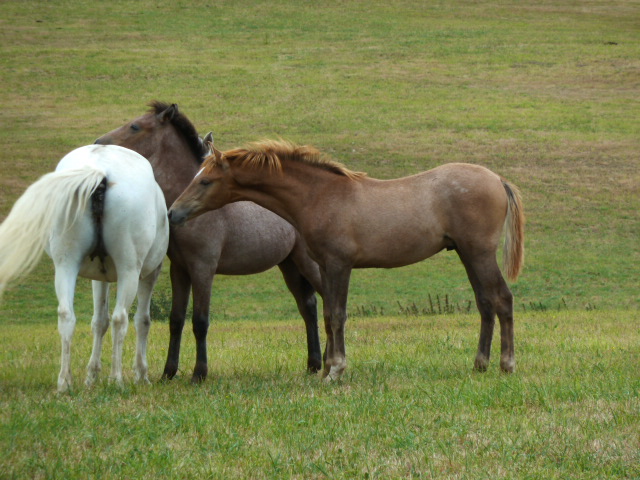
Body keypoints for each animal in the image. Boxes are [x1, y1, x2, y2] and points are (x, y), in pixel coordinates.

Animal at [0, 144, 168, 392]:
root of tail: (99, 173)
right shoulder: (149, 273)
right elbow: (142, 321)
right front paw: (141, 374)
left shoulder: (99, 278)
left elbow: (99, 322)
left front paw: (92, 375)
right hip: (128, 269)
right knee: (120, 319)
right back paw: (116, 379)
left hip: (65, 264)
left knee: (66, 315)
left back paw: (64, 382)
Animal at [94, 105, 324, 382]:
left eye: (135, 126)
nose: (98, 142)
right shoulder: (180, 269)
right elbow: (176, 319)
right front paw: (168, 373)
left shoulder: (203, 268)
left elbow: (200, 321)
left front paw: (199, 373)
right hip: (290, 265)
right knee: (308, 307)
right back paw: (314, 364)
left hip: (309, 264)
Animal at [170, 141, 524, 380]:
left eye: (205, 181)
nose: (174, 213)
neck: (322, 195)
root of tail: (497, 179)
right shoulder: (326, 267)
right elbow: (328, 315)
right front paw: (328, 366)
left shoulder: (340, 264)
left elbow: (338, 315)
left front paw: (335, 370)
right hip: (467, 254)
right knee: (485, 302)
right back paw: (480, 364)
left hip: (479, 253)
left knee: (502, 298)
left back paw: (507, 364)